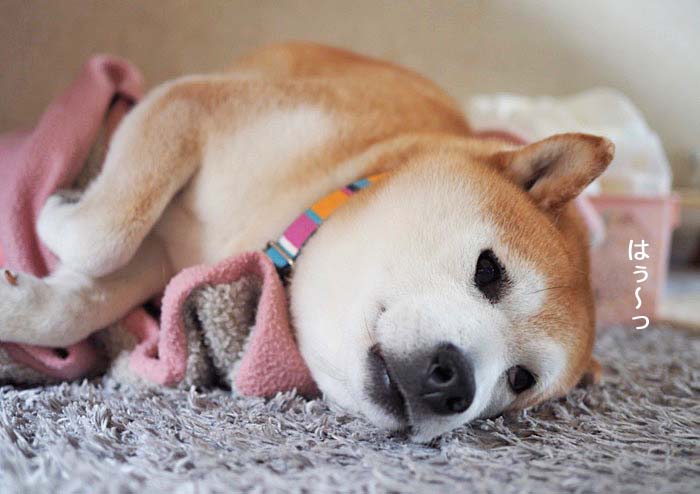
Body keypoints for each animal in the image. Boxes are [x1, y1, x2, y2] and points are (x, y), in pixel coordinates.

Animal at [0, 42, 612, 441]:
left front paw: (19, 301)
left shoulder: (165, 258)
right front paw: (56, 205)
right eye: (490, 270)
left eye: (520, 379)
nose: (454, 384)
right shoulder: (190, 106)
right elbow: (104, 237)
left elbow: (81, 295)